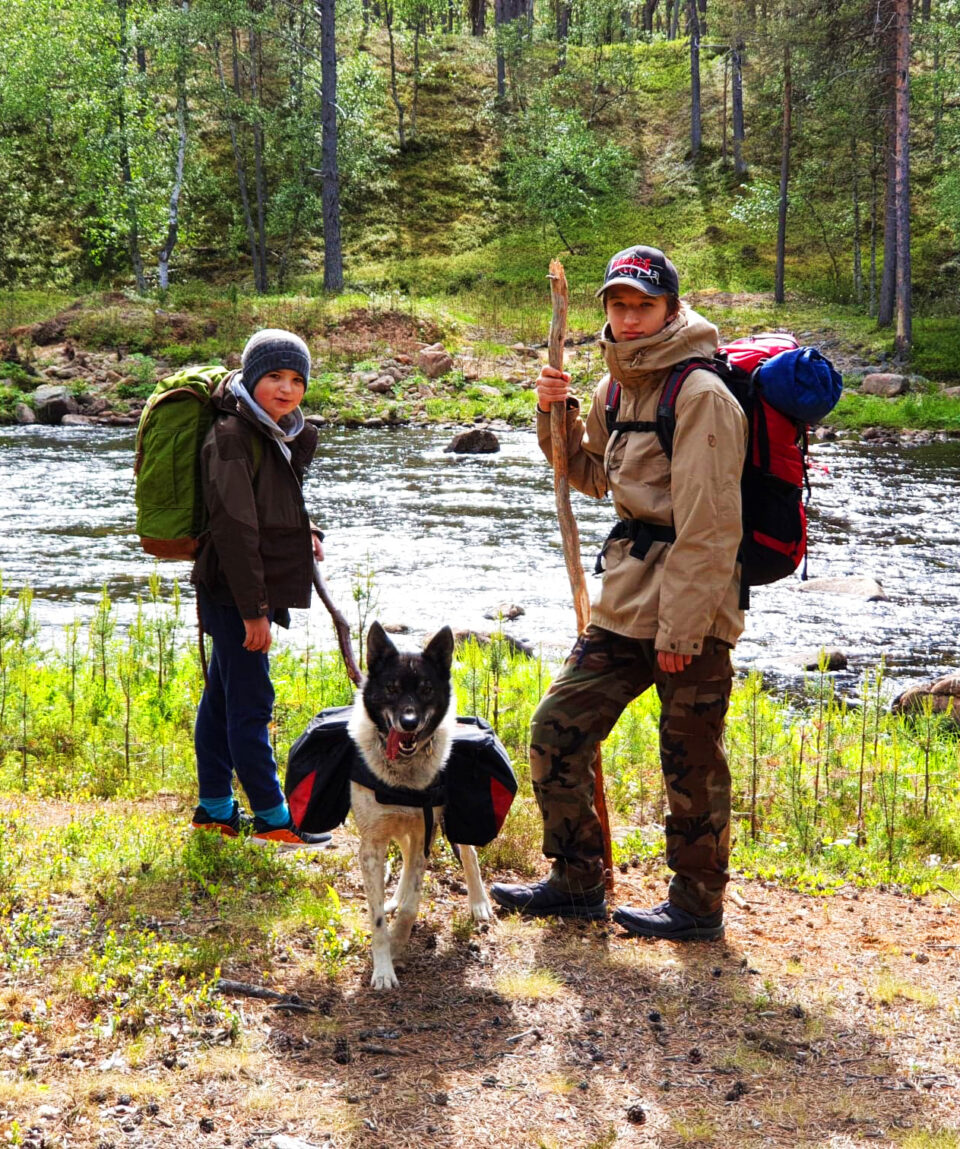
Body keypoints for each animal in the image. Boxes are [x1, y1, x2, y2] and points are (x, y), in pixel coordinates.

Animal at [346, 625, 496, 992]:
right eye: (391, 688)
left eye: (427, 689)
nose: (409, 722)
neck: (402, 776)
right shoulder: (372, 844)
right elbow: (377, 919)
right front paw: (383, 968)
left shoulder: (427, 830)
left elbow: (413, 906)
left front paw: (398, 946)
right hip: (400, 828)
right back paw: (395, 897)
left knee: (468, 853)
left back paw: (478, 902)